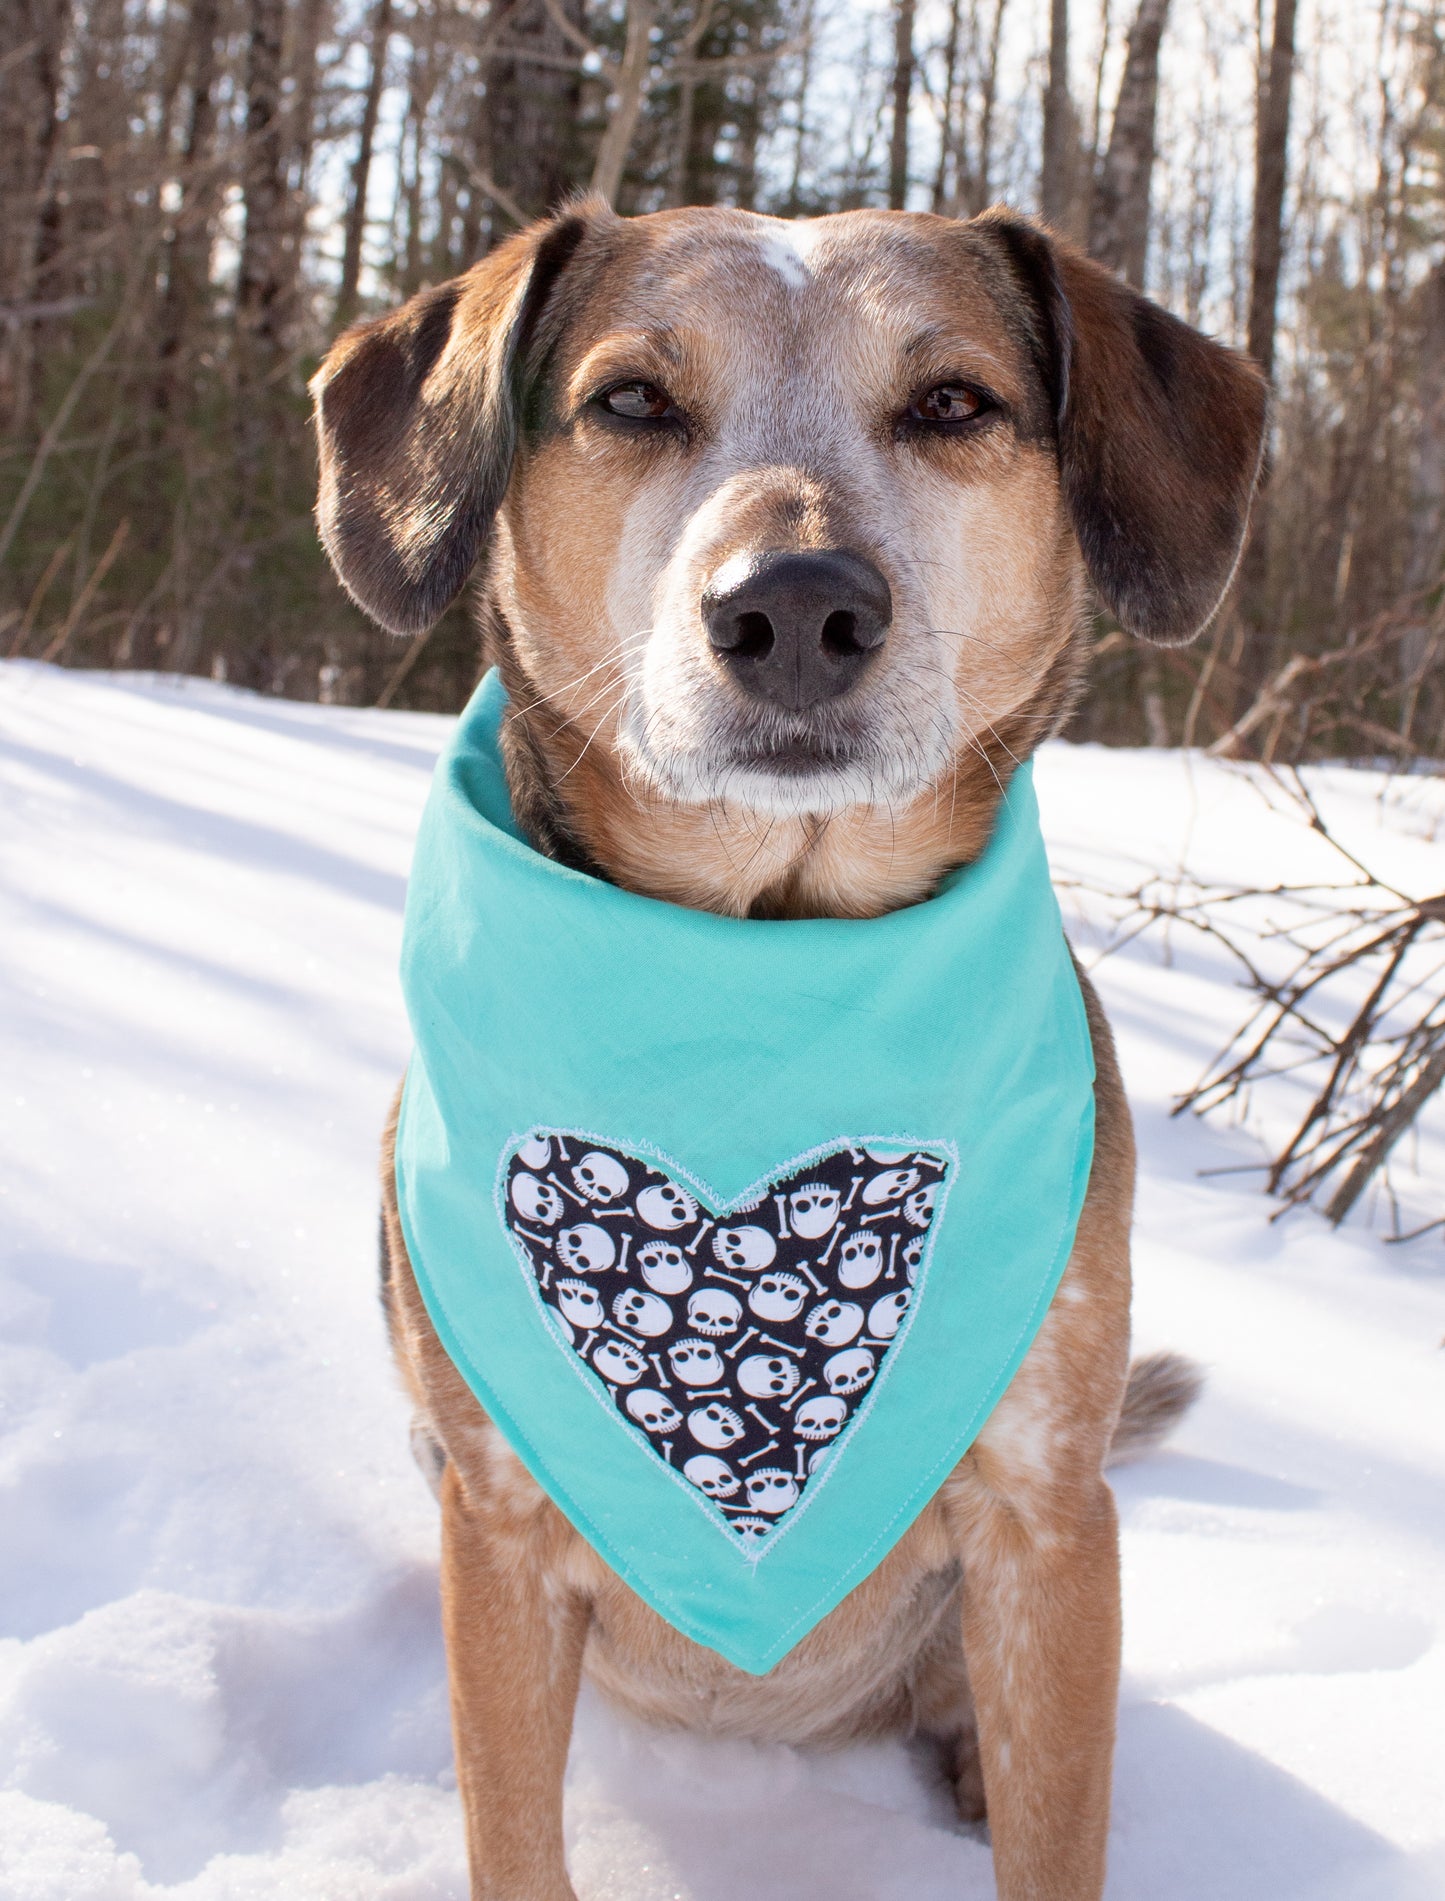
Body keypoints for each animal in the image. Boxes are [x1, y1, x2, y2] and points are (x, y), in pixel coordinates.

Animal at [309, 196, 1262, 1901]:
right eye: (630, 399)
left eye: (951, 403)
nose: (801, 607)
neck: (769, 952)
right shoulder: (496, 1518)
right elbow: (512, 1832)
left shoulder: (1047, 1516)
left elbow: (1060, 1829)